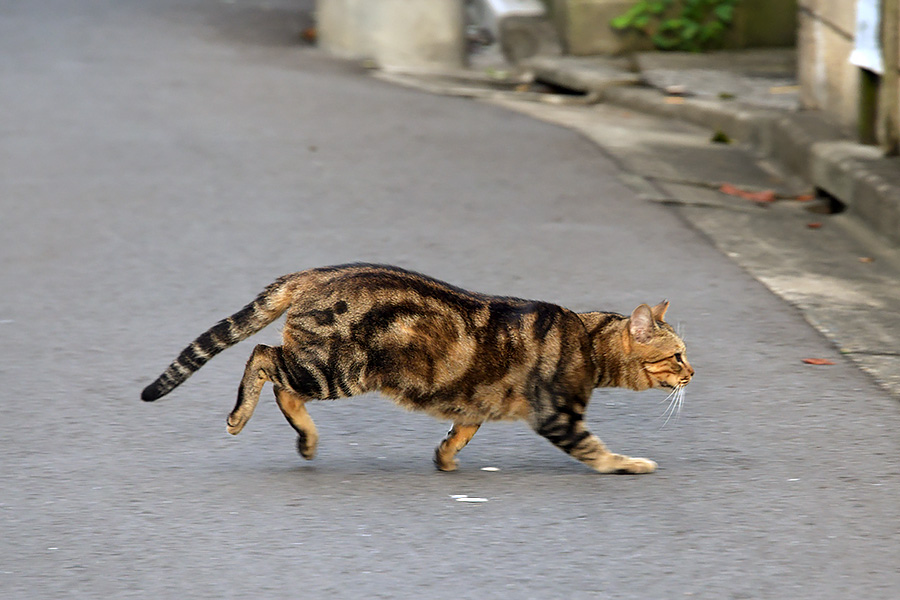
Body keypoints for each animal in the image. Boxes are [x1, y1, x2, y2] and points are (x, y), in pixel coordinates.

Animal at [144, 262, 692, 474]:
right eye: (678, 354)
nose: (693, 374)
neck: (588, 339)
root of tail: (311, 274)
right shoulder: (559, 414)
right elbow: (596, 450)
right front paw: (629, 464)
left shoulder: (477, 402)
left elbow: (461, 432)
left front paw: (445, 459)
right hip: (333, 369)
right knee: (261, 358)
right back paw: (240, 418)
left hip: (325, 370)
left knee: (282, 385)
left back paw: (307, 441)